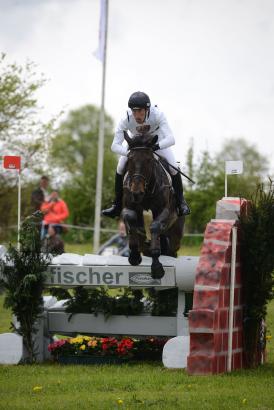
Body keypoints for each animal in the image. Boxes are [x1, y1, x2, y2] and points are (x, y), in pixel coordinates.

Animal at [121, 133, 184, 280]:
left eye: (149, 160)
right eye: (129, 160)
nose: (136, 193)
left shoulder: (164, 211)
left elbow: (154, 226)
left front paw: (157, 269)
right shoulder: (127, 208)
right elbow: (130, 218)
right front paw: (134, 256)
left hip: (175, 237)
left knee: (171, 251)